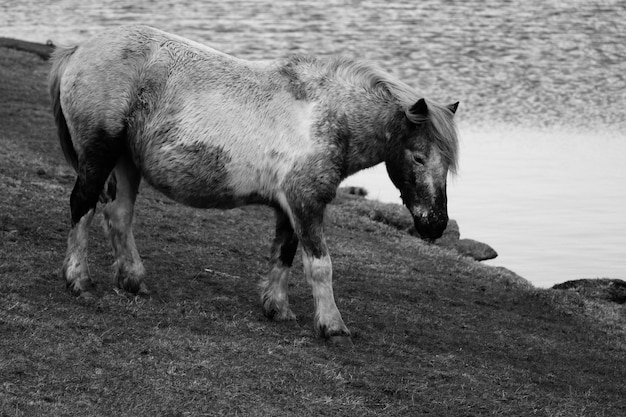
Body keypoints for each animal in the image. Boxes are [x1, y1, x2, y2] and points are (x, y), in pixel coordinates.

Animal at [48, 26, 458, 344]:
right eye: (419, 158)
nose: (435, 224)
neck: (328, 115)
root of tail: (78, 49)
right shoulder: (306, 203)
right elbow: (319, 265)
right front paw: (332, 326)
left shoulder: (289, 207)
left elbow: (284, 255)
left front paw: (277, 308)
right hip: (99, 157)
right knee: (82, 206)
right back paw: (79, 281)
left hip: (125, 163)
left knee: (118, 215)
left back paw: (132, 280)